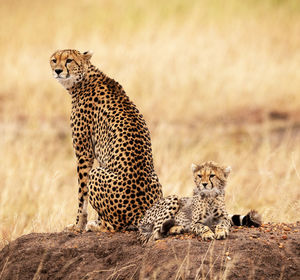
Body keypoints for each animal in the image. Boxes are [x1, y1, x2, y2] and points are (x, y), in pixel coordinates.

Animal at [49, 49, 162, 232]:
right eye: (54, 60)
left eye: (69, 60)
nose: (58, 71)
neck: (83, 79)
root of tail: (140, 215)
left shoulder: (84, 153)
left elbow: (82, 194)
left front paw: (78, 225)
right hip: (155, 178)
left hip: (97, 174)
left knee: (114, 226)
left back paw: (96, 226)